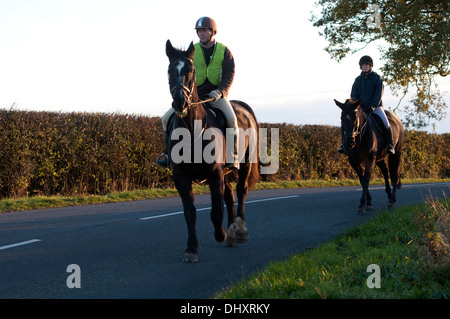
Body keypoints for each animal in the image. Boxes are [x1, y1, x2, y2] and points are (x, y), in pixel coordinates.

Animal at [165, 40, 258, 264]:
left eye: (191, 70)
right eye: (170, 70)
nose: (180, 103)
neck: (191, 130)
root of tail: (242, 108)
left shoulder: (214, 173)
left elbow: (215, 210)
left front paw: (220, 234)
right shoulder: (181, 176)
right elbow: (190, 212)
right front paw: (191, 249)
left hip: (244, 165)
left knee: (241, 191)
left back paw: (238, 230)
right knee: (230, 195)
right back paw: (232, 234)